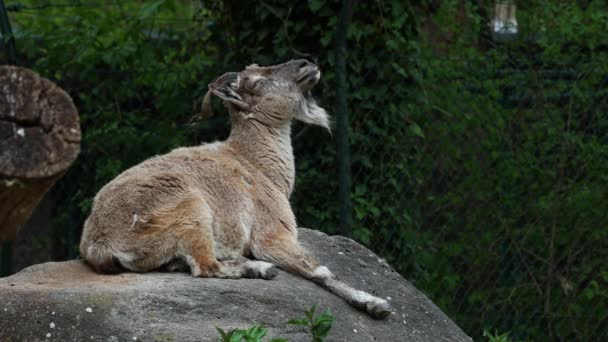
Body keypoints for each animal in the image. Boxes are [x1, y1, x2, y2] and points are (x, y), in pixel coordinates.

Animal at [79, 59, 390, 318]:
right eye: (256, 81)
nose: (306, 64)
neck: (258, 166)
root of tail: (99, 244)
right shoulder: (272, 233)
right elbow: (320, 270)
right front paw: (374, 303)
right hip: (191, 209)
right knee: (205, 266)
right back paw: (261, 269)